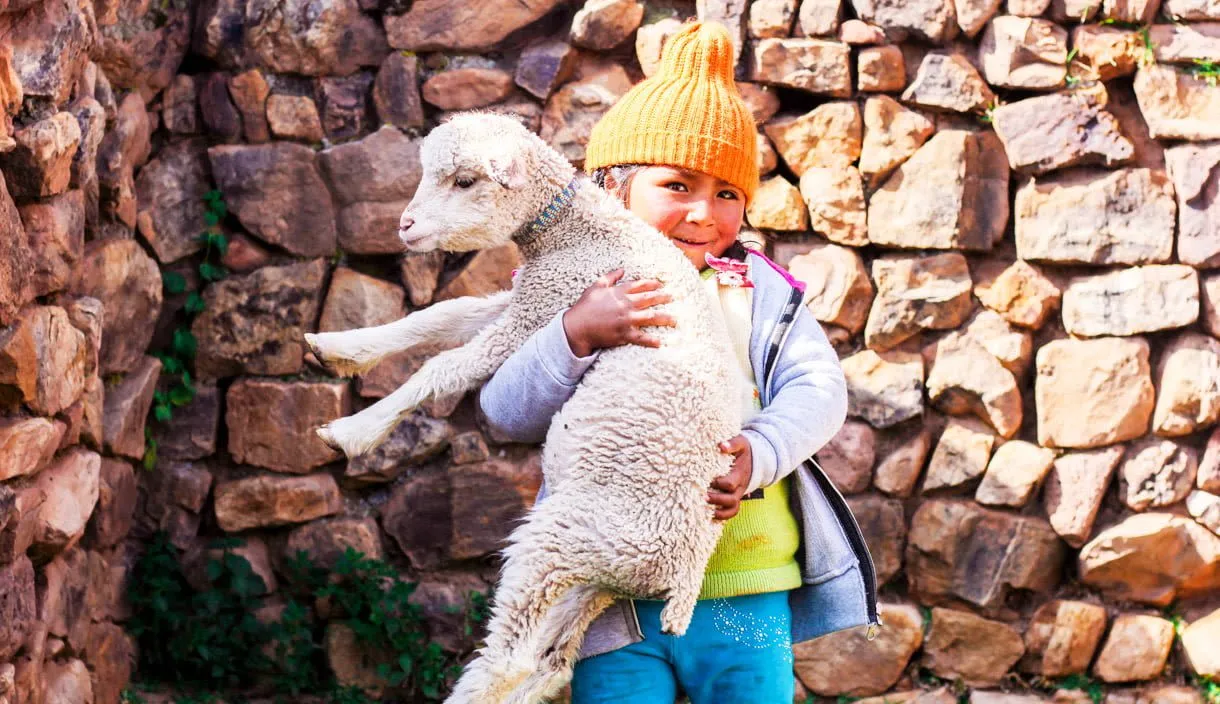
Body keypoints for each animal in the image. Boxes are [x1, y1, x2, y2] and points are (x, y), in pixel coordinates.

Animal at [303, 112, 741, 704]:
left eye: (465, 181)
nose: (406, 226)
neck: (577, 233)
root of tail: (683, 578)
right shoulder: (527, 300)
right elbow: (441, 315)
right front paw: (337, 347)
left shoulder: (542, 309)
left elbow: (446, 366)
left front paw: (354, 430)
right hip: (596, 578)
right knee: (550, 661)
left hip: (564, 540)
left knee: (510, 657)